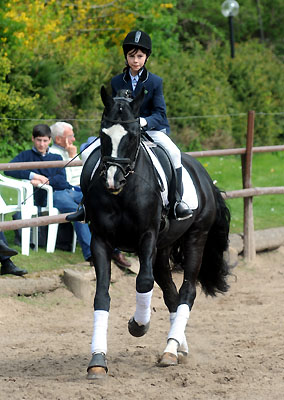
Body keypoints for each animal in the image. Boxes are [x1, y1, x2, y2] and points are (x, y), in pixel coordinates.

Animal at [80, 86, 231, 380]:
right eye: (103, 135)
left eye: (133, 135)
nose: (112, 180)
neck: (123, 193)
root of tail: (203, 174)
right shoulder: (101, 240)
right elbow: (101, 295)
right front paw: (97, 359)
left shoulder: (147, 236)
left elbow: (143, 282)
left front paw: (138, 325)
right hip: (163, 249)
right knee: (172, 294)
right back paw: (178, 346)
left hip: (195, 238)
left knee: (186, 292)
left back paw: (170, 350)